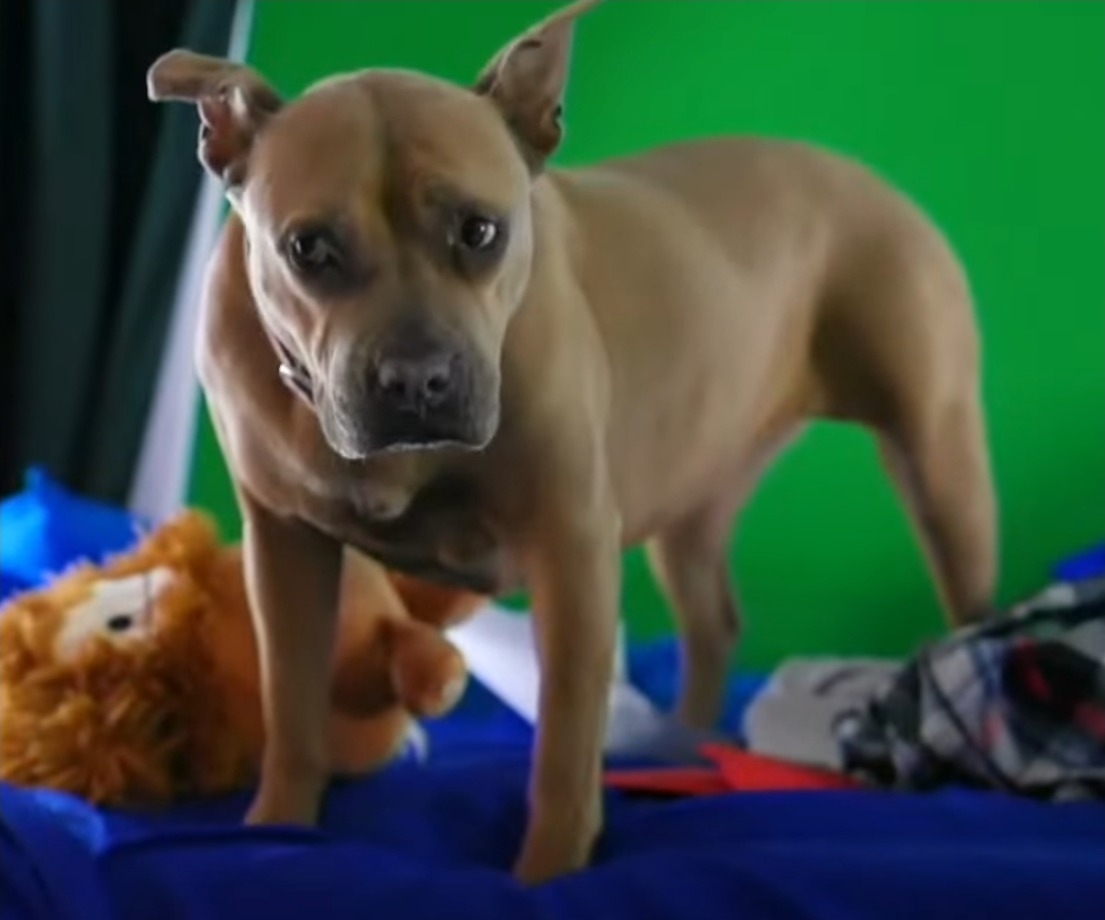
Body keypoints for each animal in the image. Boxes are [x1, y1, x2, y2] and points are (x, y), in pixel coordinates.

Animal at [146, 0, 997, 882]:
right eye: (307, 247)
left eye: (479, 230)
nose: (416, 381)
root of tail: (861, 176)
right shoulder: (284, 549)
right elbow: (290, 702)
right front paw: (274, 827)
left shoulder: (572, 550)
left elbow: (561, 739)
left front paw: (550, 869)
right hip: (694, 497)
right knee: (713, 621)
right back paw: (686, 742)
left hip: (938, 462)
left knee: (971, 615)